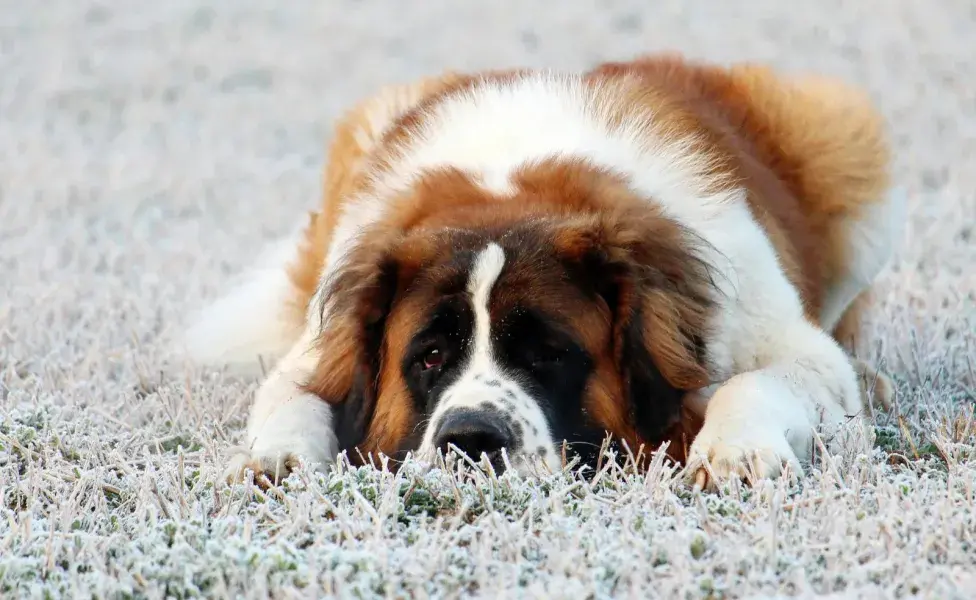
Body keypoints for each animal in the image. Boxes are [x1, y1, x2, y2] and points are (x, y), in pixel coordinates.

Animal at [181, 52, 900, 492]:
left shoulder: (785, 343)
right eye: (430, 356)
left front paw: (735, 452)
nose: (469, 439)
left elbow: (757, 381)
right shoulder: (315, 351)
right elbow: (295, 397)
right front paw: (273, 459)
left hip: (844, 136)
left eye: (549, 353)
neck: (512, 185)